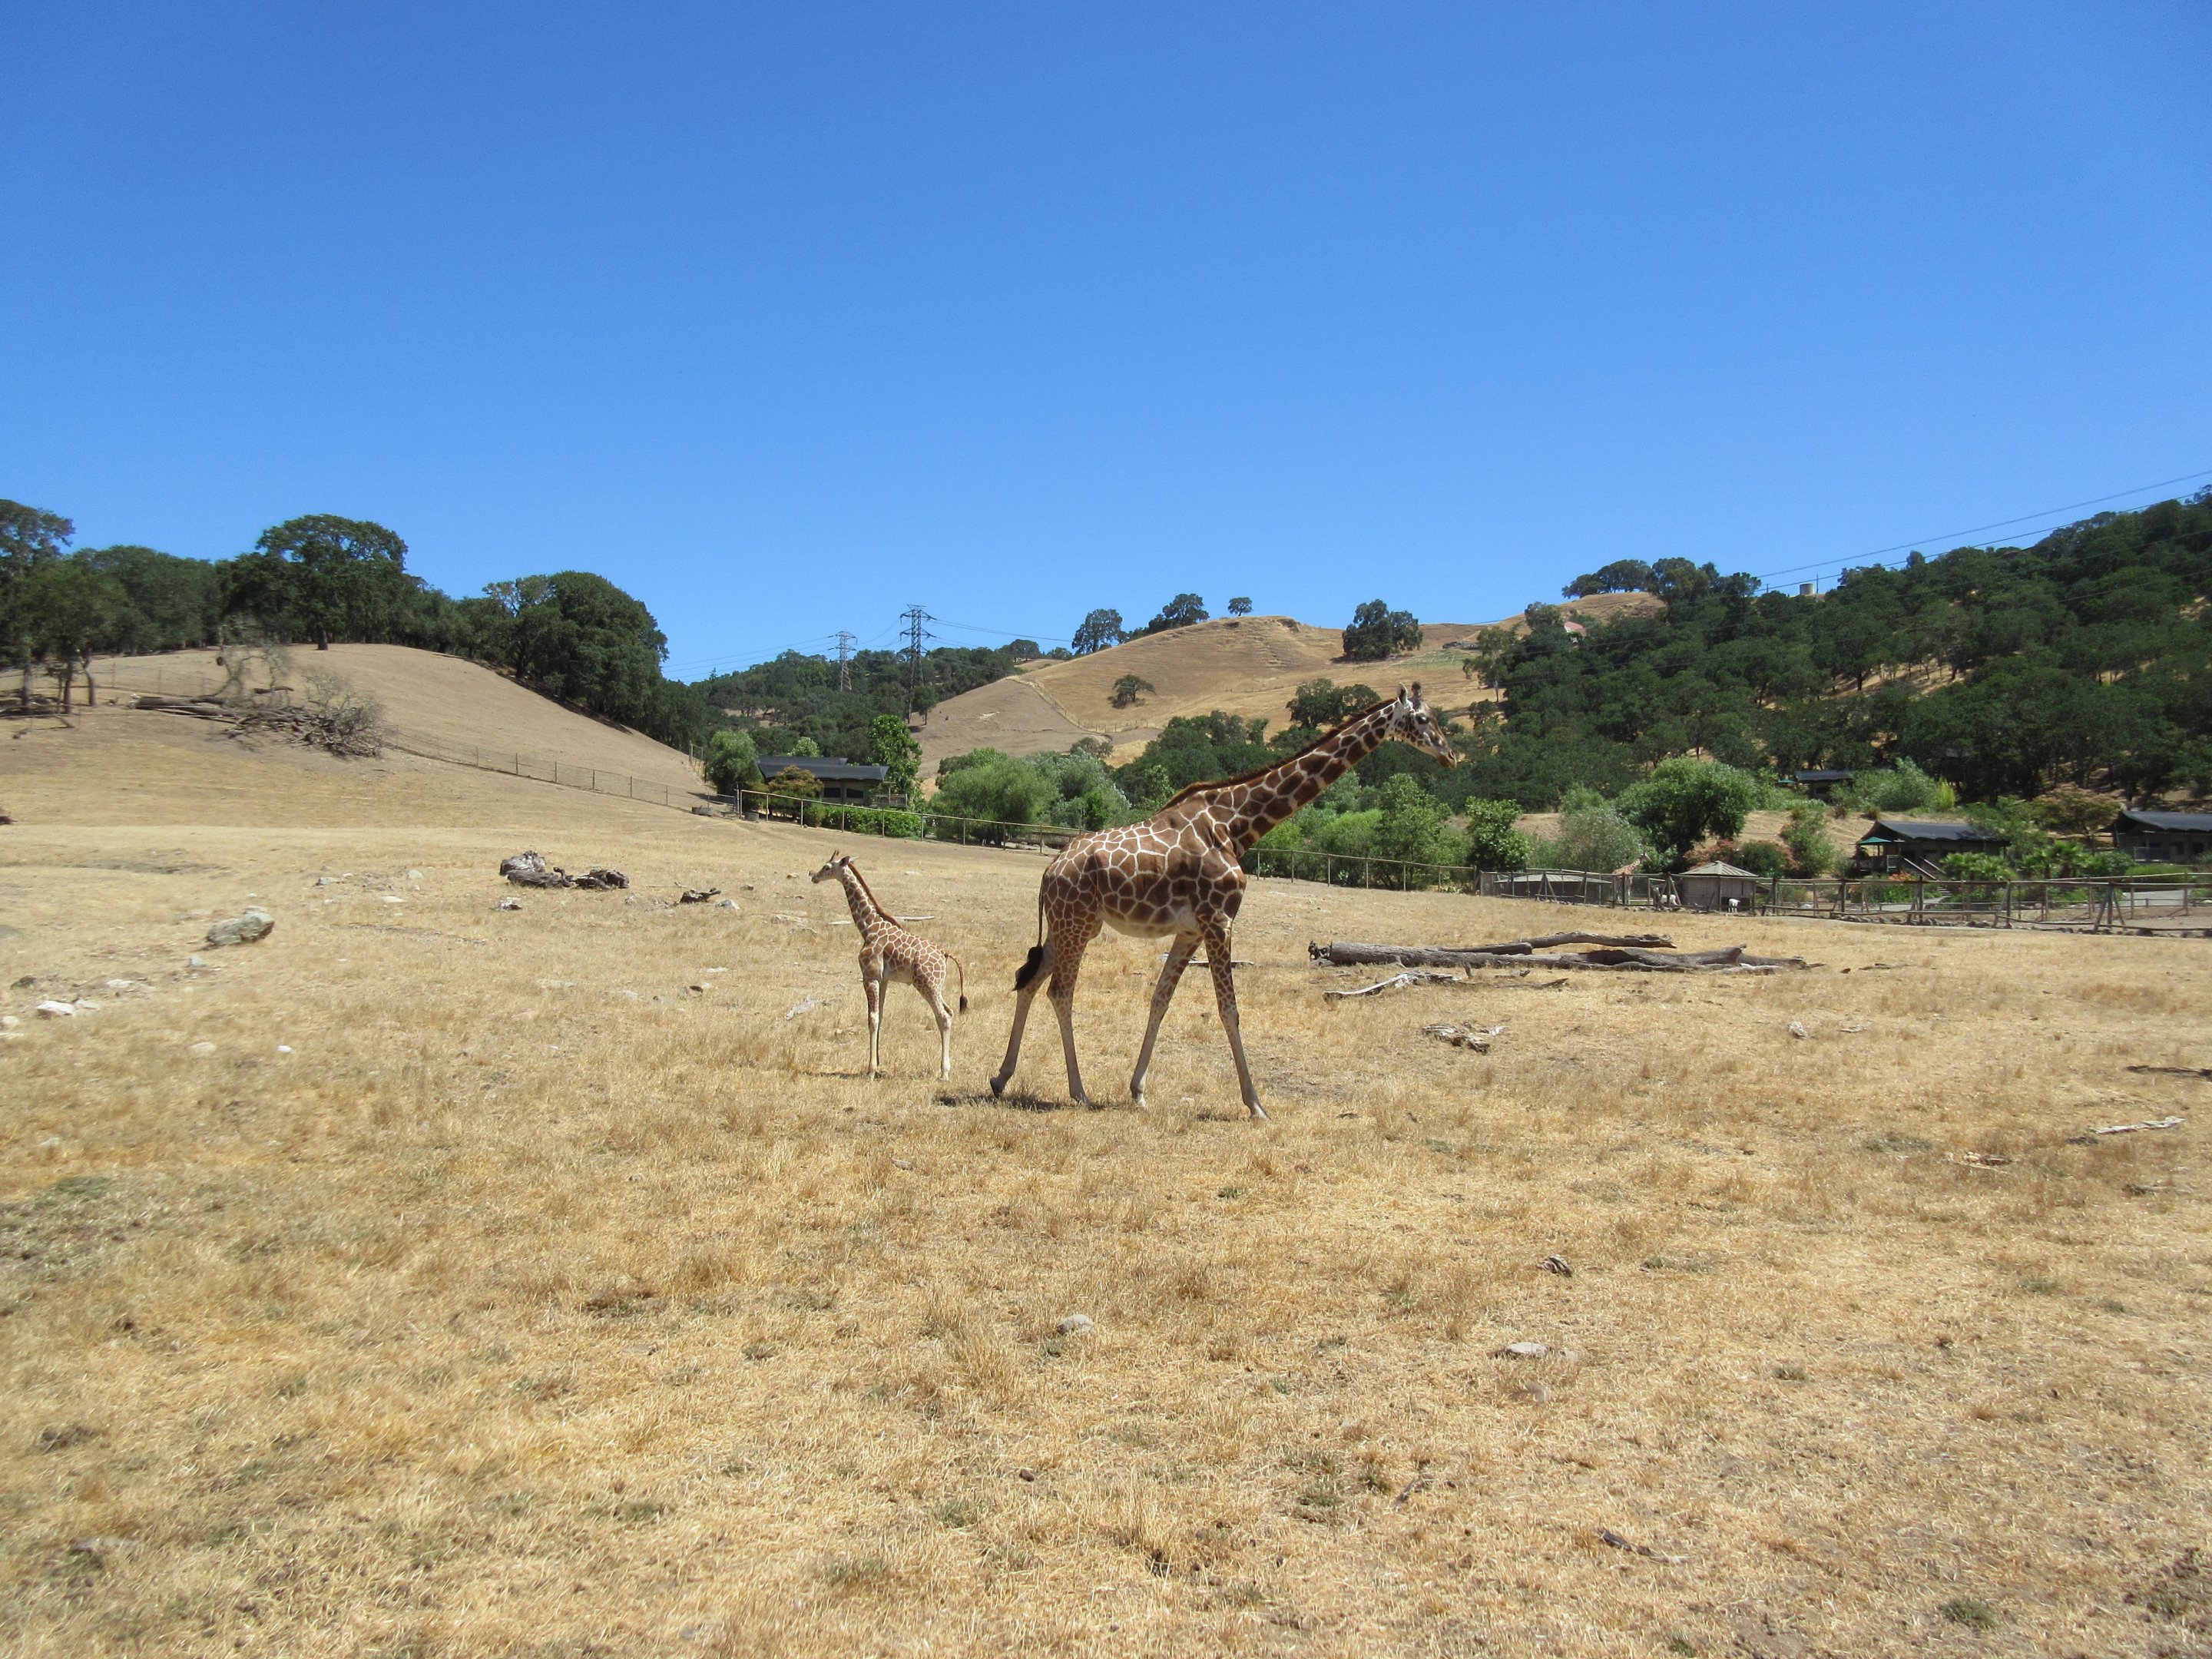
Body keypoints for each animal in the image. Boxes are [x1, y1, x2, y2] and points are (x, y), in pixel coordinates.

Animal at [812, 853, 967, 1080]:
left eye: (826, 867)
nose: (813, 876)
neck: (867, 927)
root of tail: (945, 954)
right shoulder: (883, 980)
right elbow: (882, 1016)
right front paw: (878, 1065)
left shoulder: (870, 976)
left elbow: (872, 1018)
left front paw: (870, 1071)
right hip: (937, 986)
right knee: (949, 1012)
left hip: (926, 984)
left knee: (943, 1016)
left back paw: (944, 1073)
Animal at [989, 685, 1458, 1117]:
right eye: (1421, 719)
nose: (1452, 756)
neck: (1236, 825)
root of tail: (1050, 871)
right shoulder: (1220, 920)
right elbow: (1229, 1010)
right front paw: (1256, 1105)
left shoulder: (1191, 930)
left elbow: (1160, 1000)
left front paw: (1138, 1091)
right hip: (1080, 924)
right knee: (1060, 991)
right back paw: (1078, 1091)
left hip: (1064, 926)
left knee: (1030, 982)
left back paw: (1001, 1078)